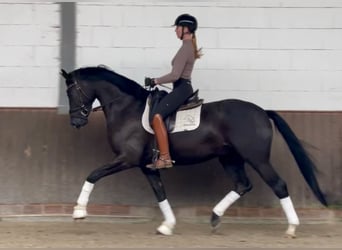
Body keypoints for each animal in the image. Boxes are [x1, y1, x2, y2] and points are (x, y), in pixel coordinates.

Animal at [60, 66, 328, 236]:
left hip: (257, 158)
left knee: (278, 185)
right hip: (229, 158)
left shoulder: (127, 158)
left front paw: (79, 211)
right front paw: (167, 226)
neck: (127, 108)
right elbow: (160, 193)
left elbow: (93, 174)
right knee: (242, 185)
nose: (76, 122)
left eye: (71, 91)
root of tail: (262, 111)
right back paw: (215, 217)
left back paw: (291, 228)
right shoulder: (146, 166)